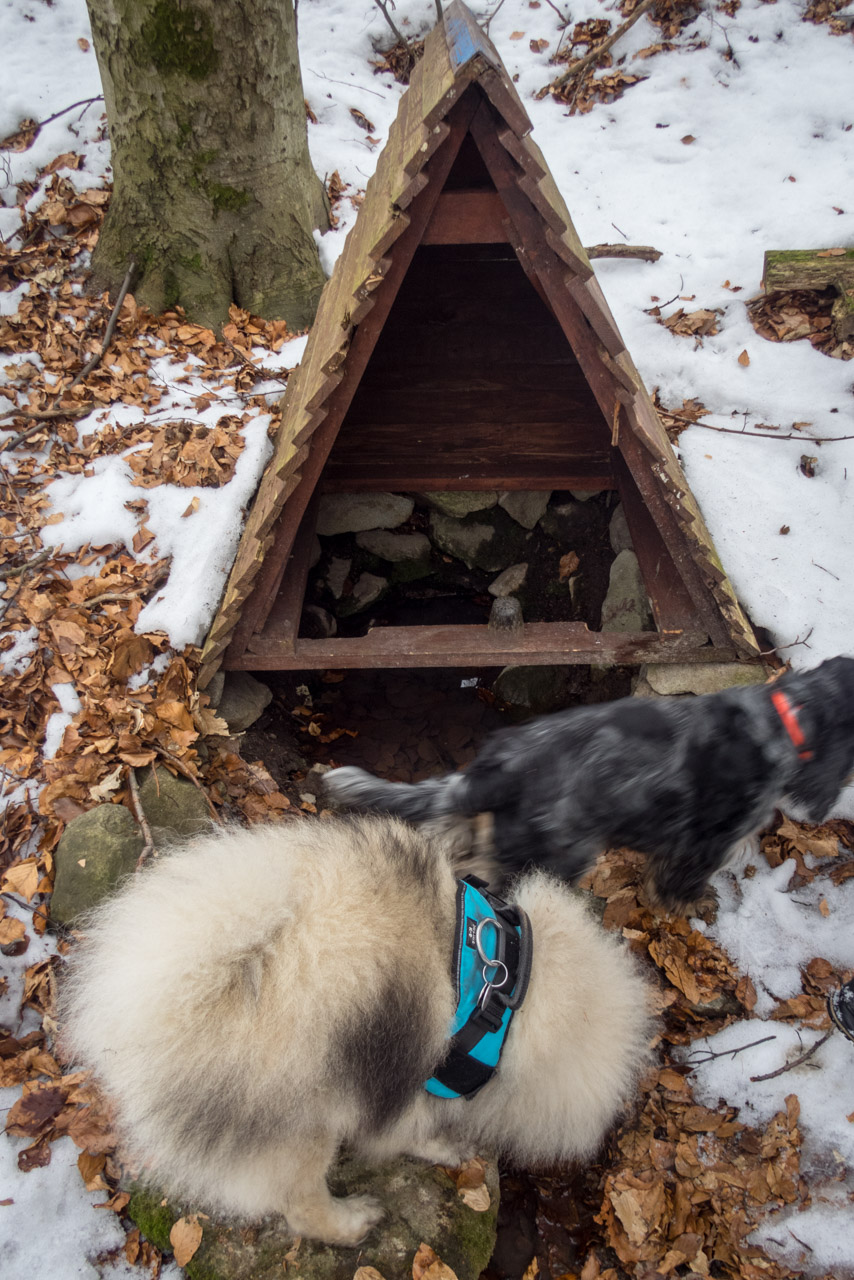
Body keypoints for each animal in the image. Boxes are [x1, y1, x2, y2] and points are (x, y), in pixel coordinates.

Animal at [61, 814, 655, 1244]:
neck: (513, 981)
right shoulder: (418, 1082)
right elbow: (414, 1132)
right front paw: (450, 1148)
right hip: (304, 1127)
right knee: (301, 1206)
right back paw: (353, 1223)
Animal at [323, 655, 854, 916]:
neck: (785, 716)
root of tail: (497, 769)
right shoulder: (703, 844)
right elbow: (680, 885)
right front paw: (695, 905)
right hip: (557, 857)